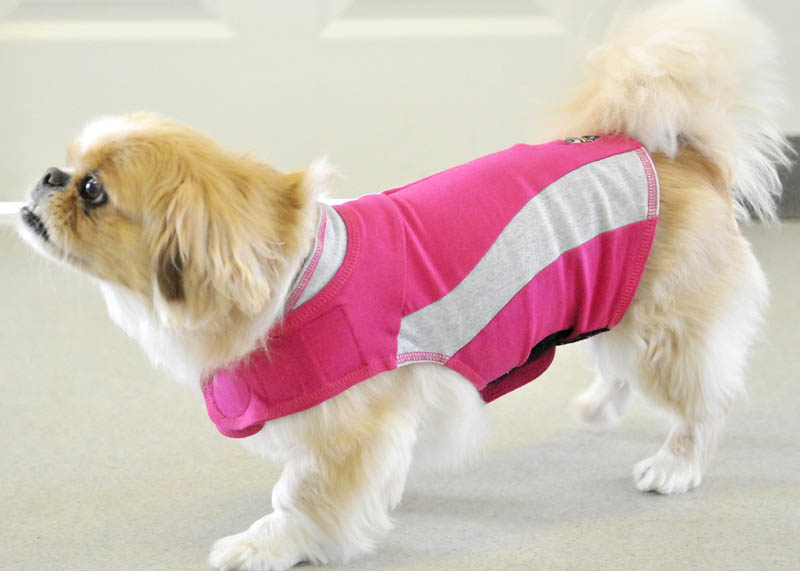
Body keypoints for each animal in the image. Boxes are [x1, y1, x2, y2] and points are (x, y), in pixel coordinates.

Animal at [15, 1, 792, 571]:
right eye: (69, 165)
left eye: (92, 191)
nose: (47, 175)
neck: (287, 285)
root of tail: (674, 153)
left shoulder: (346, 429)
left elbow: (302, 495)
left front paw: (266, 545)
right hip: (616, 307)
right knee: (622, 366)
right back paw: (599, 405)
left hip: (664, 332)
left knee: (704, 405)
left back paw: (674, 466)